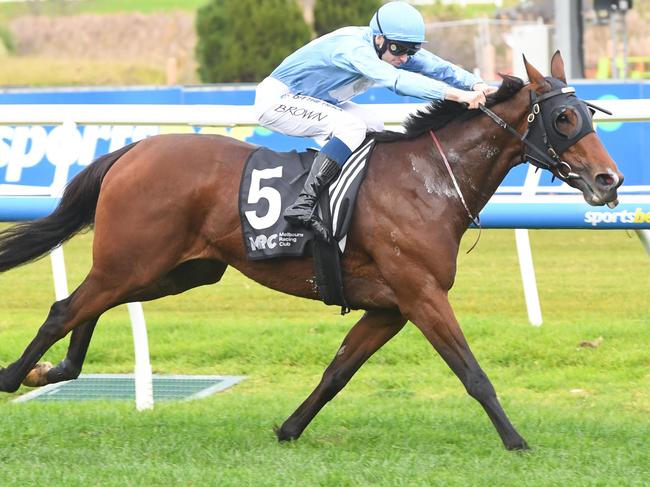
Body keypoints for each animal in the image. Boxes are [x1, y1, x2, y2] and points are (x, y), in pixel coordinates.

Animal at [0, 52, 620, 450]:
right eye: (564, 117)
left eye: (589, 113)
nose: (609, 180)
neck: (426, 180)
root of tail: (133, 149)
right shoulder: (421, 294)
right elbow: (472, 373)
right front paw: (517, 441)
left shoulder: (389, 308)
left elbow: (337, 371)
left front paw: (289, 429)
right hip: (138, 259)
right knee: (66, 308)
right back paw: (13, 377)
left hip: (176, 270)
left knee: (89, 305)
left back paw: (53, 371)